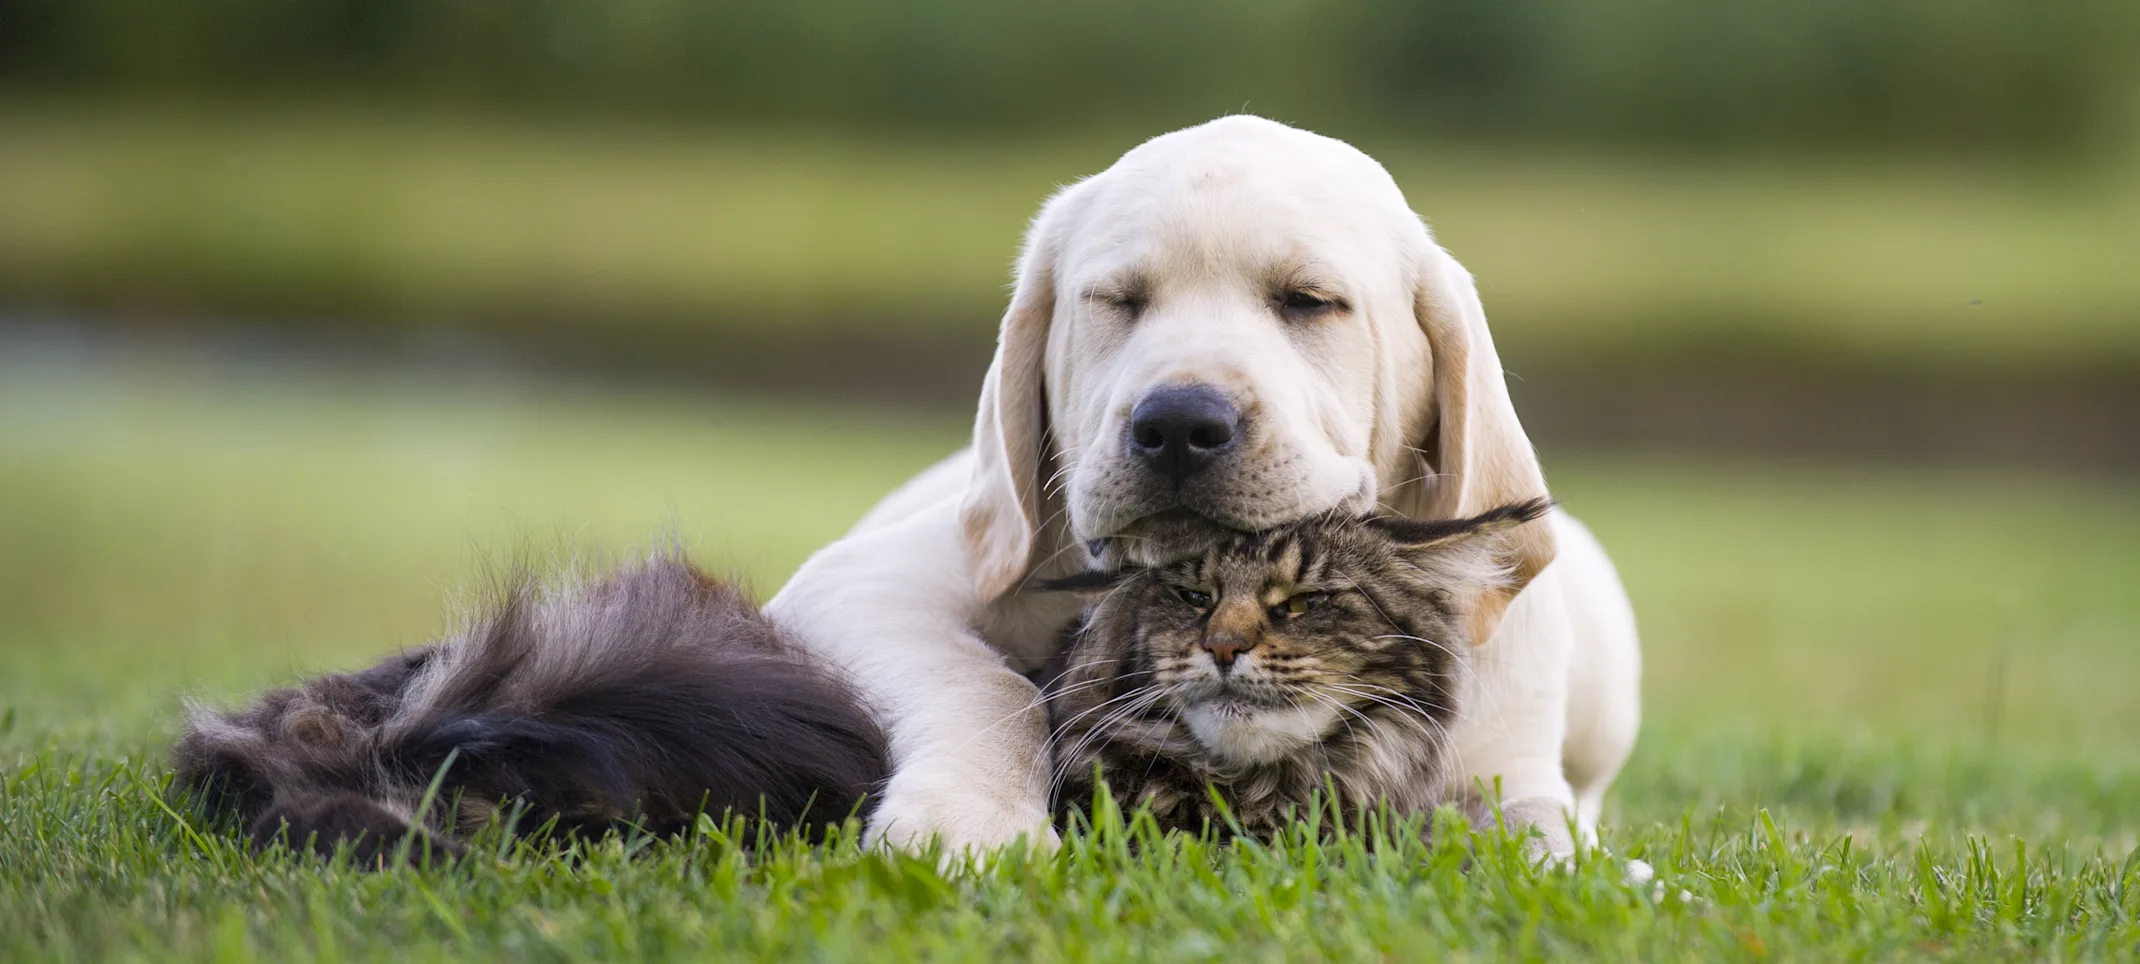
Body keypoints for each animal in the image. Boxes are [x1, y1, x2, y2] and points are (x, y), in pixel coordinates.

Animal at [770, 114, 1634, 856]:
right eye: (1117, 300)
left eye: (1309, 301)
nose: (1179, 423)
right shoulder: (859, 582)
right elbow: (985, 682)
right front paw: (970, 822)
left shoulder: (1506, 766)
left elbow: (1533, 831)